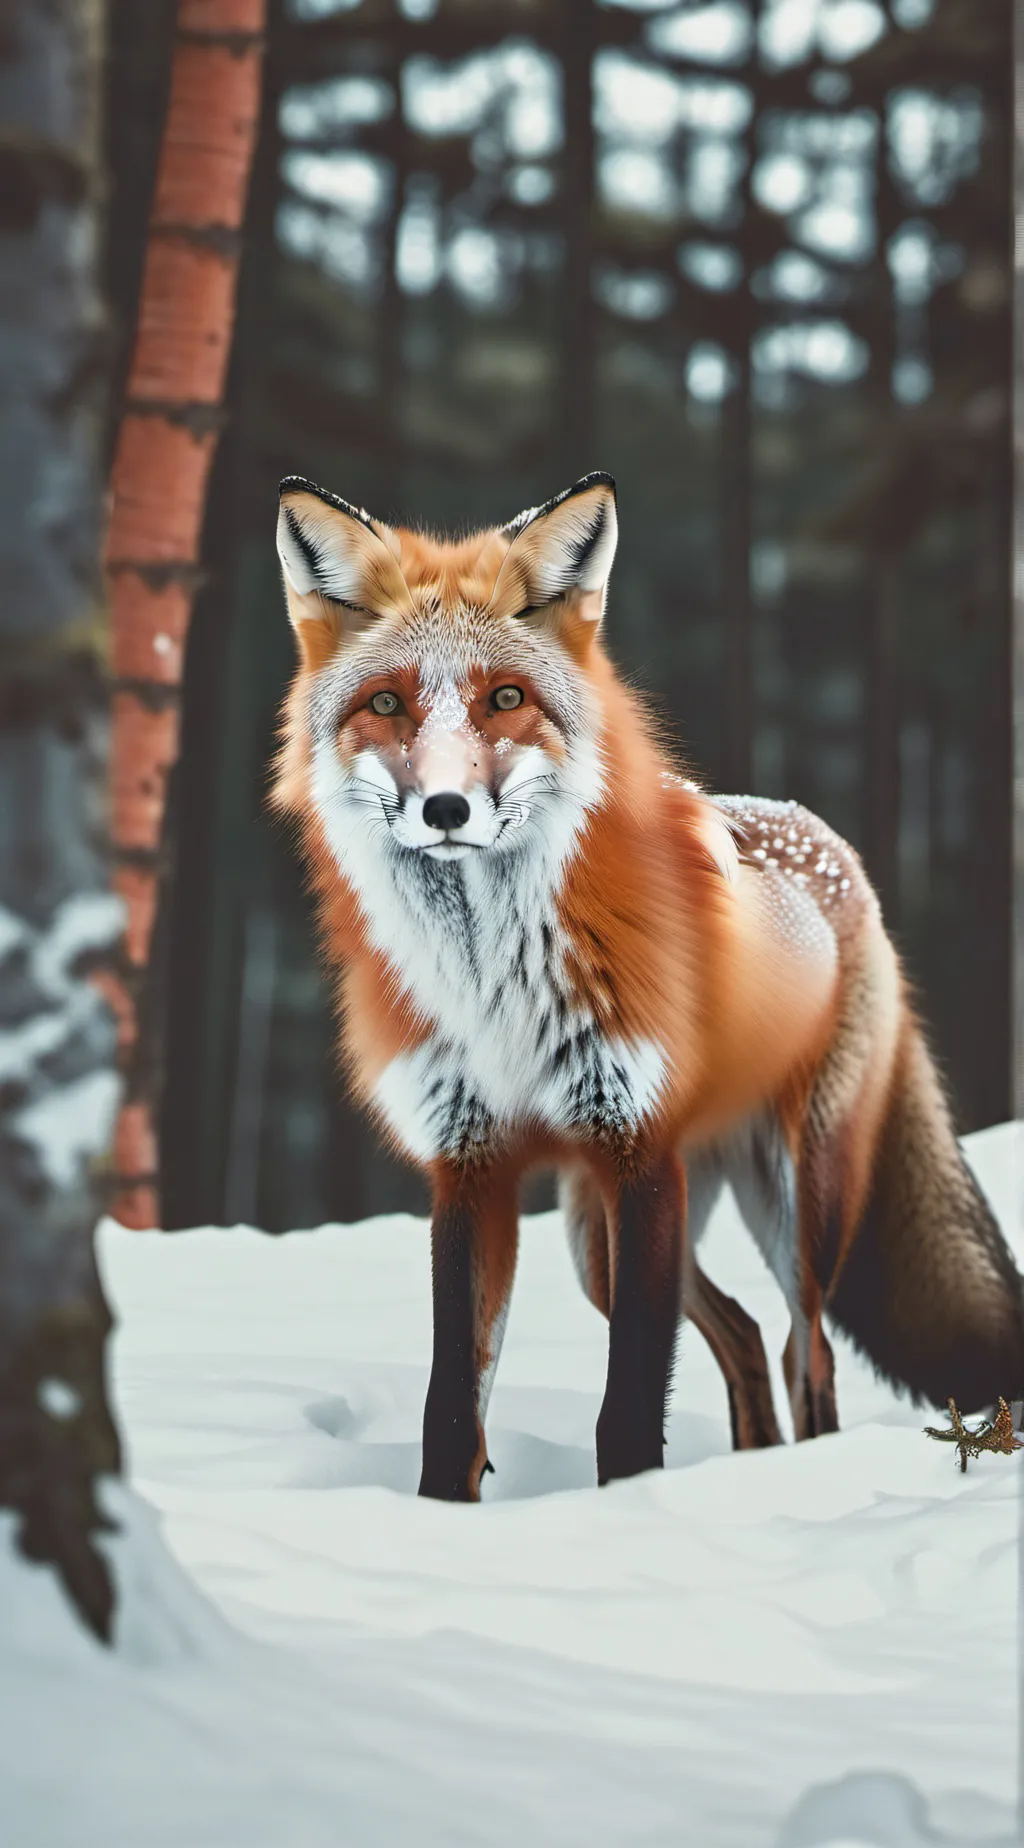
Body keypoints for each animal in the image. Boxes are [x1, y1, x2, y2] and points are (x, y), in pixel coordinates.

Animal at [271, 468, 1024, 1500]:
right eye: (387, 704)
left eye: (507, 696)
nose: (447, 808)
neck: (494, 983)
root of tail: (823, 836)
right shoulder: (469, 1163)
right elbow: (451, 1409)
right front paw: (441, 1519)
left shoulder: (640, 1151)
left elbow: (628, 1405)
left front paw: (624, 1513)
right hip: (595, 1238)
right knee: (743, 1334)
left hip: (795, 1197)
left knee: (807, 1350)